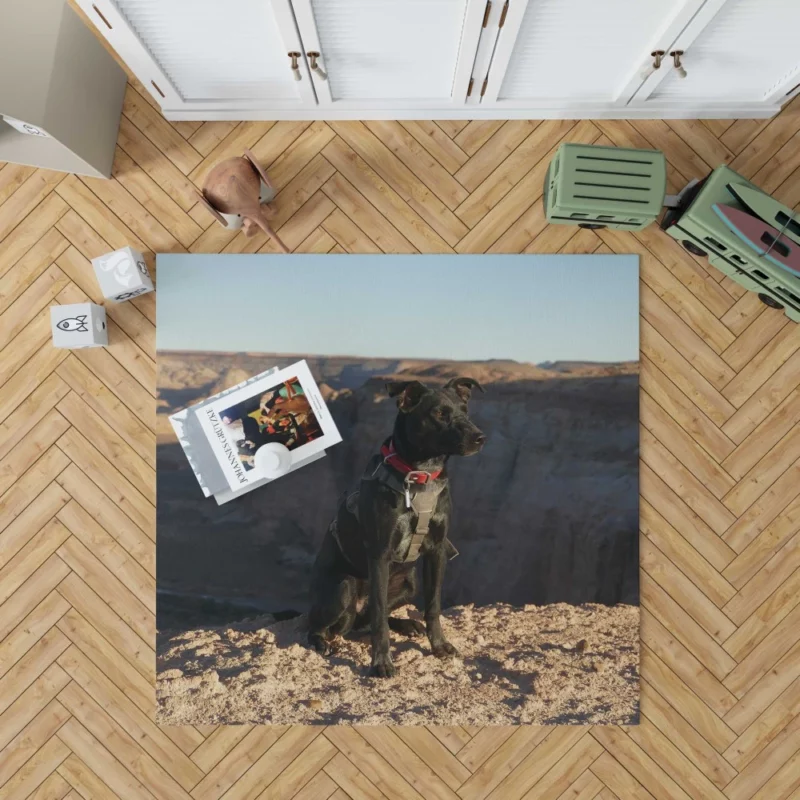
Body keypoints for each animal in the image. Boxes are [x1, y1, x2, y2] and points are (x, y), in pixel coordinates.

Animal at [306, 378, 484, 680]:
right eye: (440, 413)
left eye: (465, 410)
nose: (479, 437)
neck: (420, 475)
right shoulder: (380, 554)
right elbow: (379, 619)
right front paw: (381, 662)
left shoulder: (437, 550)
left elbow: (433, 606)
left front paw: (439, 646)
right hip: (344, 586)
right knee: (325, 625)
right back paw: (321, 642)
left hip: (408, 585)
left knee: (361, 621)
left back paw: (406, 625)